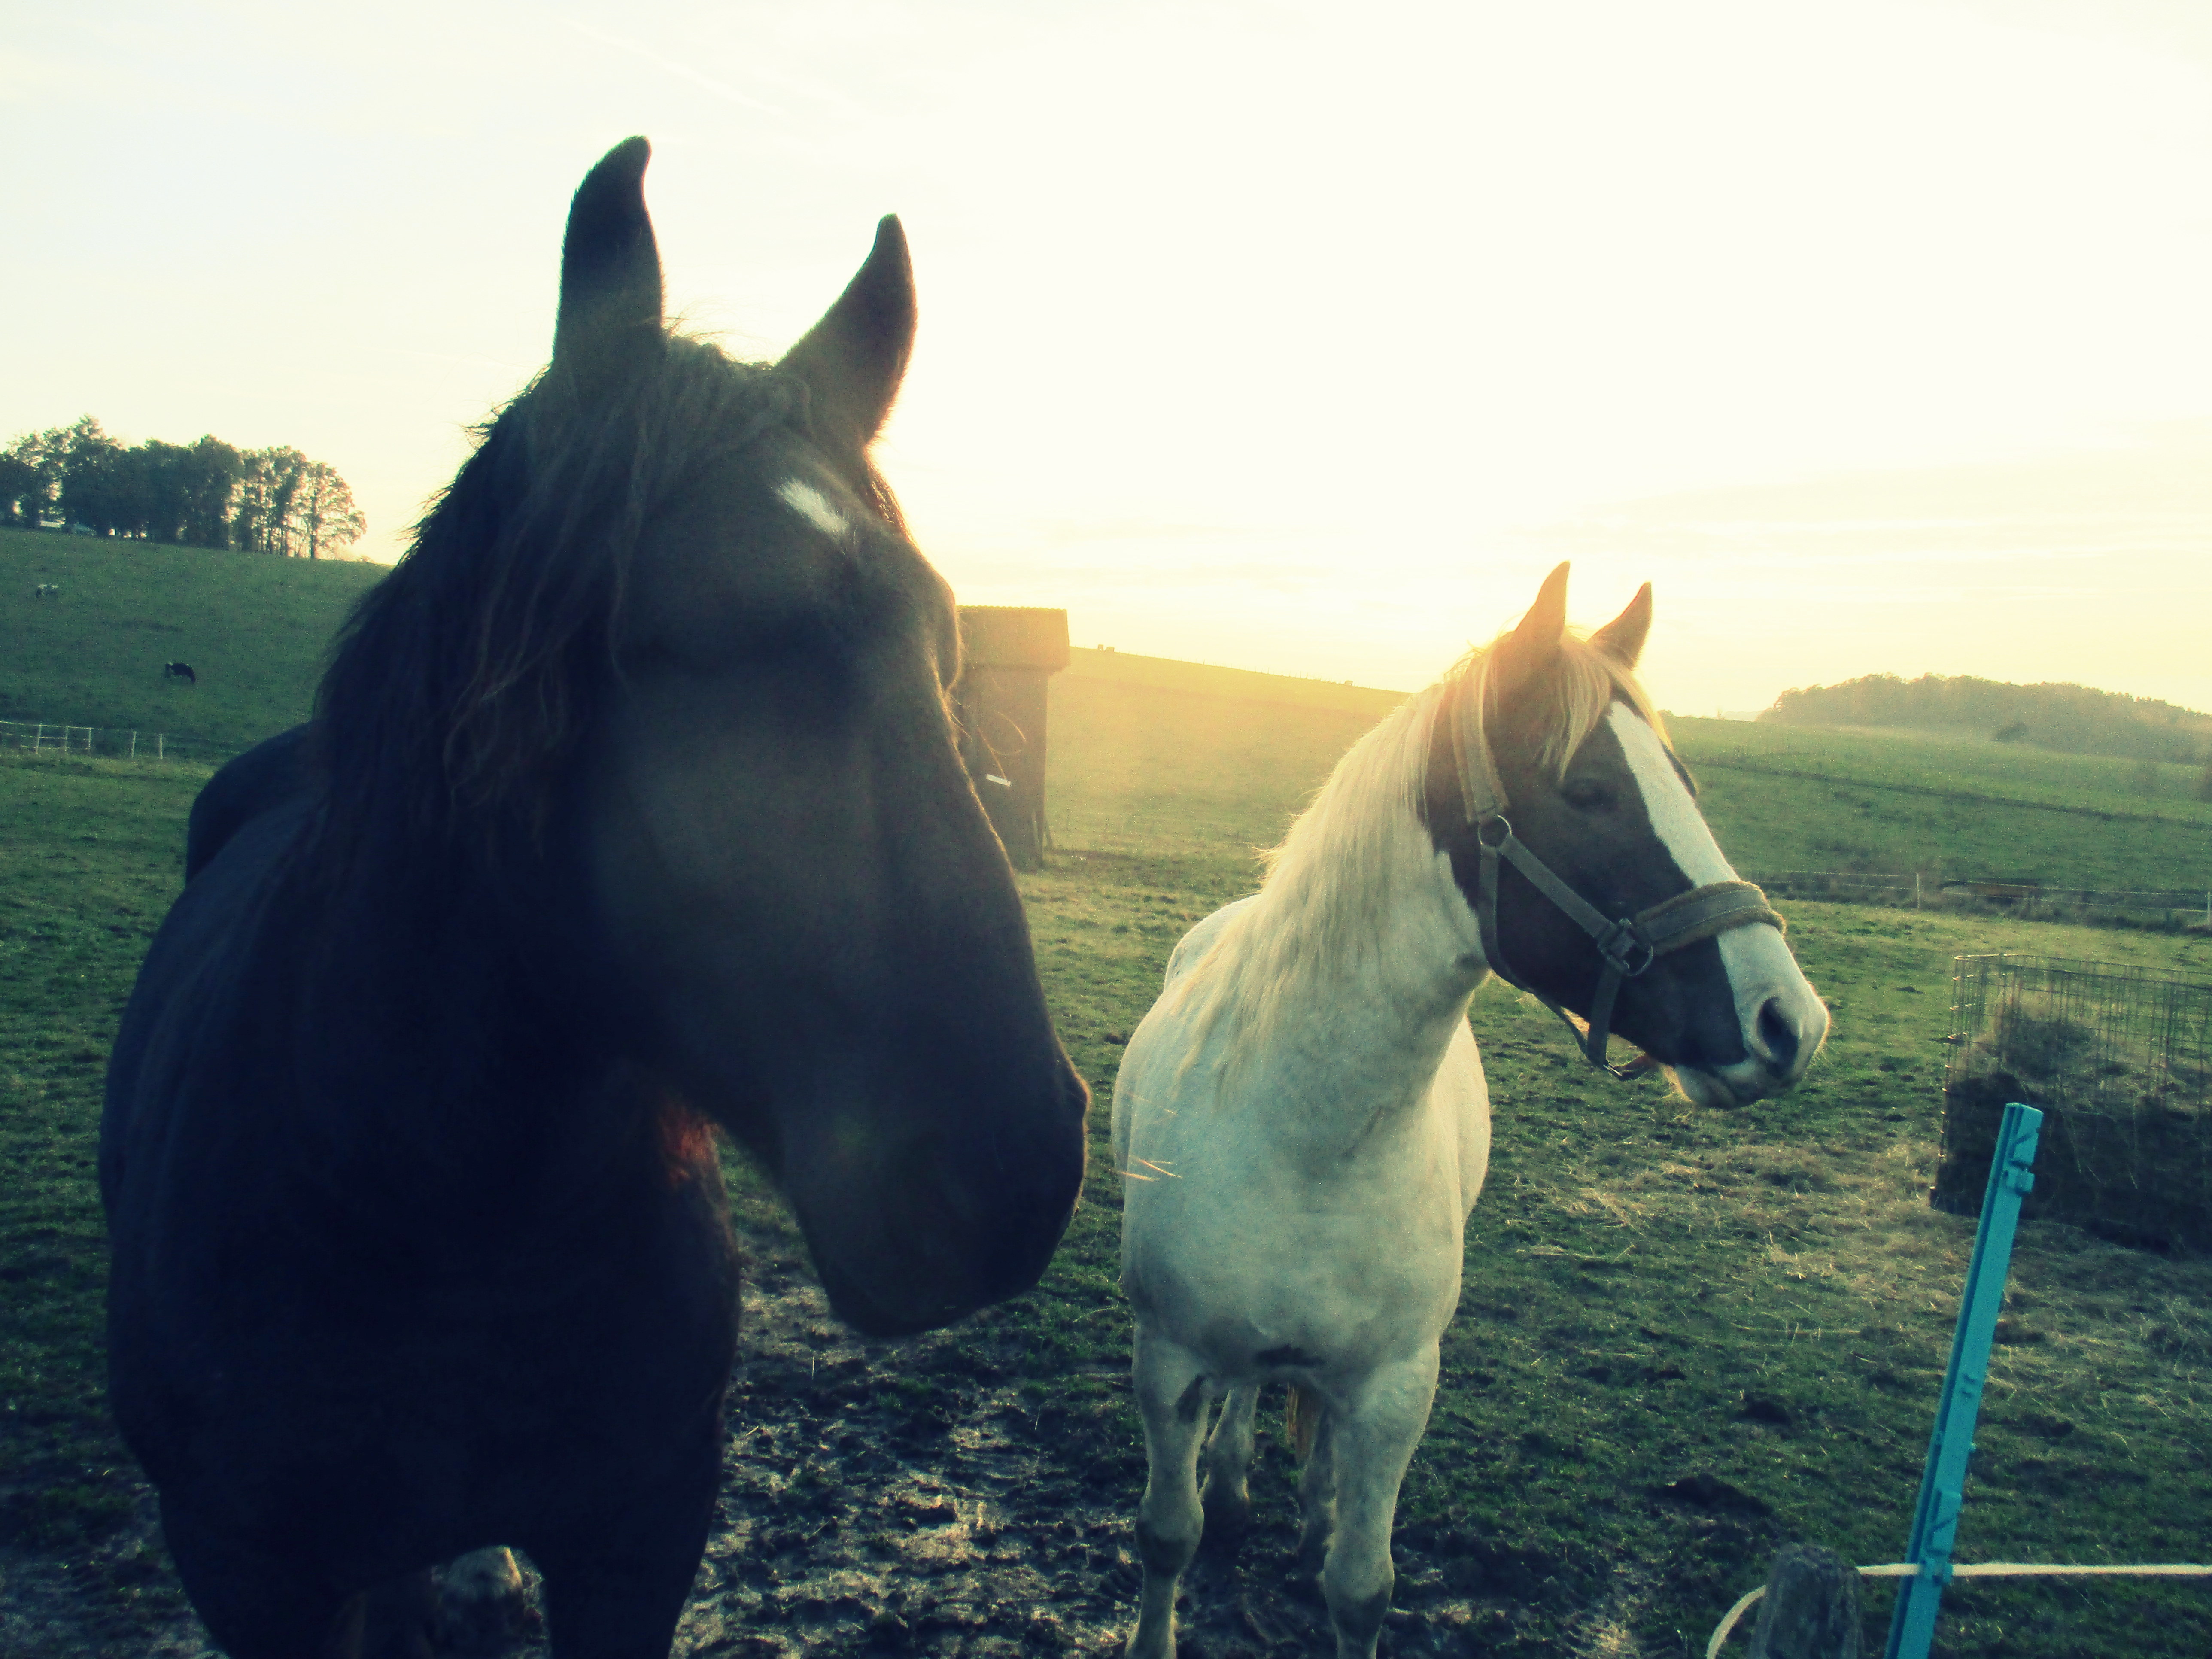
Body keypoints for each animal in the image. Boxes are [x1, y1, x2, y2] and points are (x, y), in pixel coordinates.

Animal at [101, 137, 1090, 1659]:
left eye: (946, 648)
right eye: (665, 639)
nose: (1008, 1176)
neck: (438, 1214)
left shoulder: (646, 1529)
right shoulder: (246, 1567)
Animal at [1111, 565, 1828, 1659]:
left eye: (1686, 784)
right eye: (1588, 792)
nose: (1789, 1021)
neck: (1304, 1141)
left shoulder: (1397, 1388)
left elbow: (1360, 1587)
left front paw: (1325, 1543)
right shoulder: (1169, 1361)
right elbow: (1166, 1537)